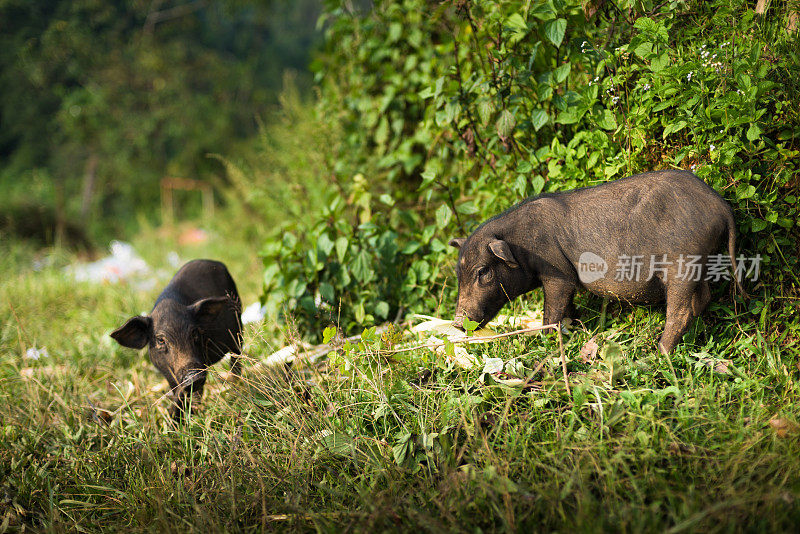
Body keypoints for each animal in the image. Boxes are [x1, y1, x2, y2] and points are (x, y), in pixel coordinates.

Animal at [110, 260, 241, 418]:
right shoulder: (168, 373)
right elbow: (179, 391)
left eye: (194, 332)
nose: (193, 376)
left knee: (237, 360)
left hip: (238, 331)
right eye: (161, 340)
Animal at [454, 172, 748, 356]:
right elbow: (567, 309)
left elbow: (552, 310)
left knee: (681, 311)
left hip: (682, 262)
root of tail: (721, 206)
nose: (457, 322)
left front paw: (545, 341)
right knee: (703, 298)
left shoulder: (558, 272)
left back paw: (659, 353)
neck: (521, 243)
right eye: (459, 274)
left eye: (483, 271)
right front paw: (573, 329)